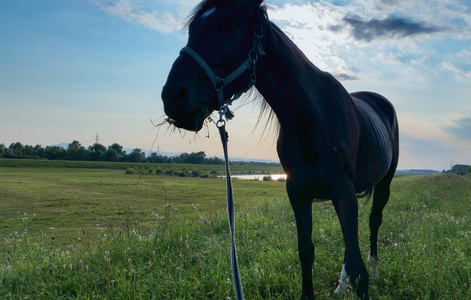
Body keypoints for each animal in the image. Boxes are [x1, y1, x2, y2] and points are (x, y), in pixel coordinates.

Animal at [161, 1, 398, 298]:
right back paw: (340, 284)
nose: (172, 96)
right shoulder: (297, 192)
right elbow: (306, 251)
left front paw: (361, 276)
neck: (312, 117)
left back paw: (374, 270)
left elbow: (358, 268)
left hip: (383, 183)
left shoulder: (343, 192)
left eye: (228, 25)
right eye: (192, 28)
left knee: (374, 221)